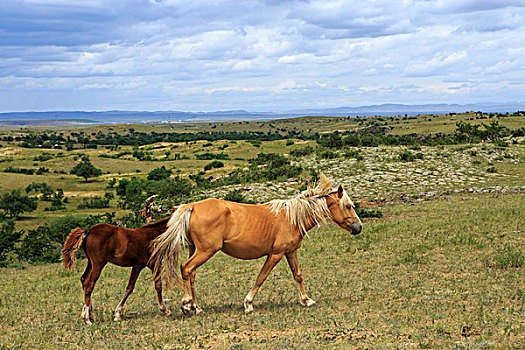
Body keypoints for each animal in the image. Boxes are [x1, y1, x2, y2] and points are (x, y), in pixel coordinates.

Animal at [150, 175, 360, 314]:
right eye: (348, 206)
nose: (358, 227)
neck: (291, 217)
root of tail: (191, 207)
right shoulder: (275, 254)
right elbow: (261, 277)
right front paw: (248, 303)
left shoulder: (290, 252)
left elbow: (298, 276)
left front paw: (306, 300)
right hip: (206, 251)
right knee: (186, 268)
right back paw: (187, 305)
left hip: (196, 250)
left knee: (191, 274)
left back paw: (196, 307)